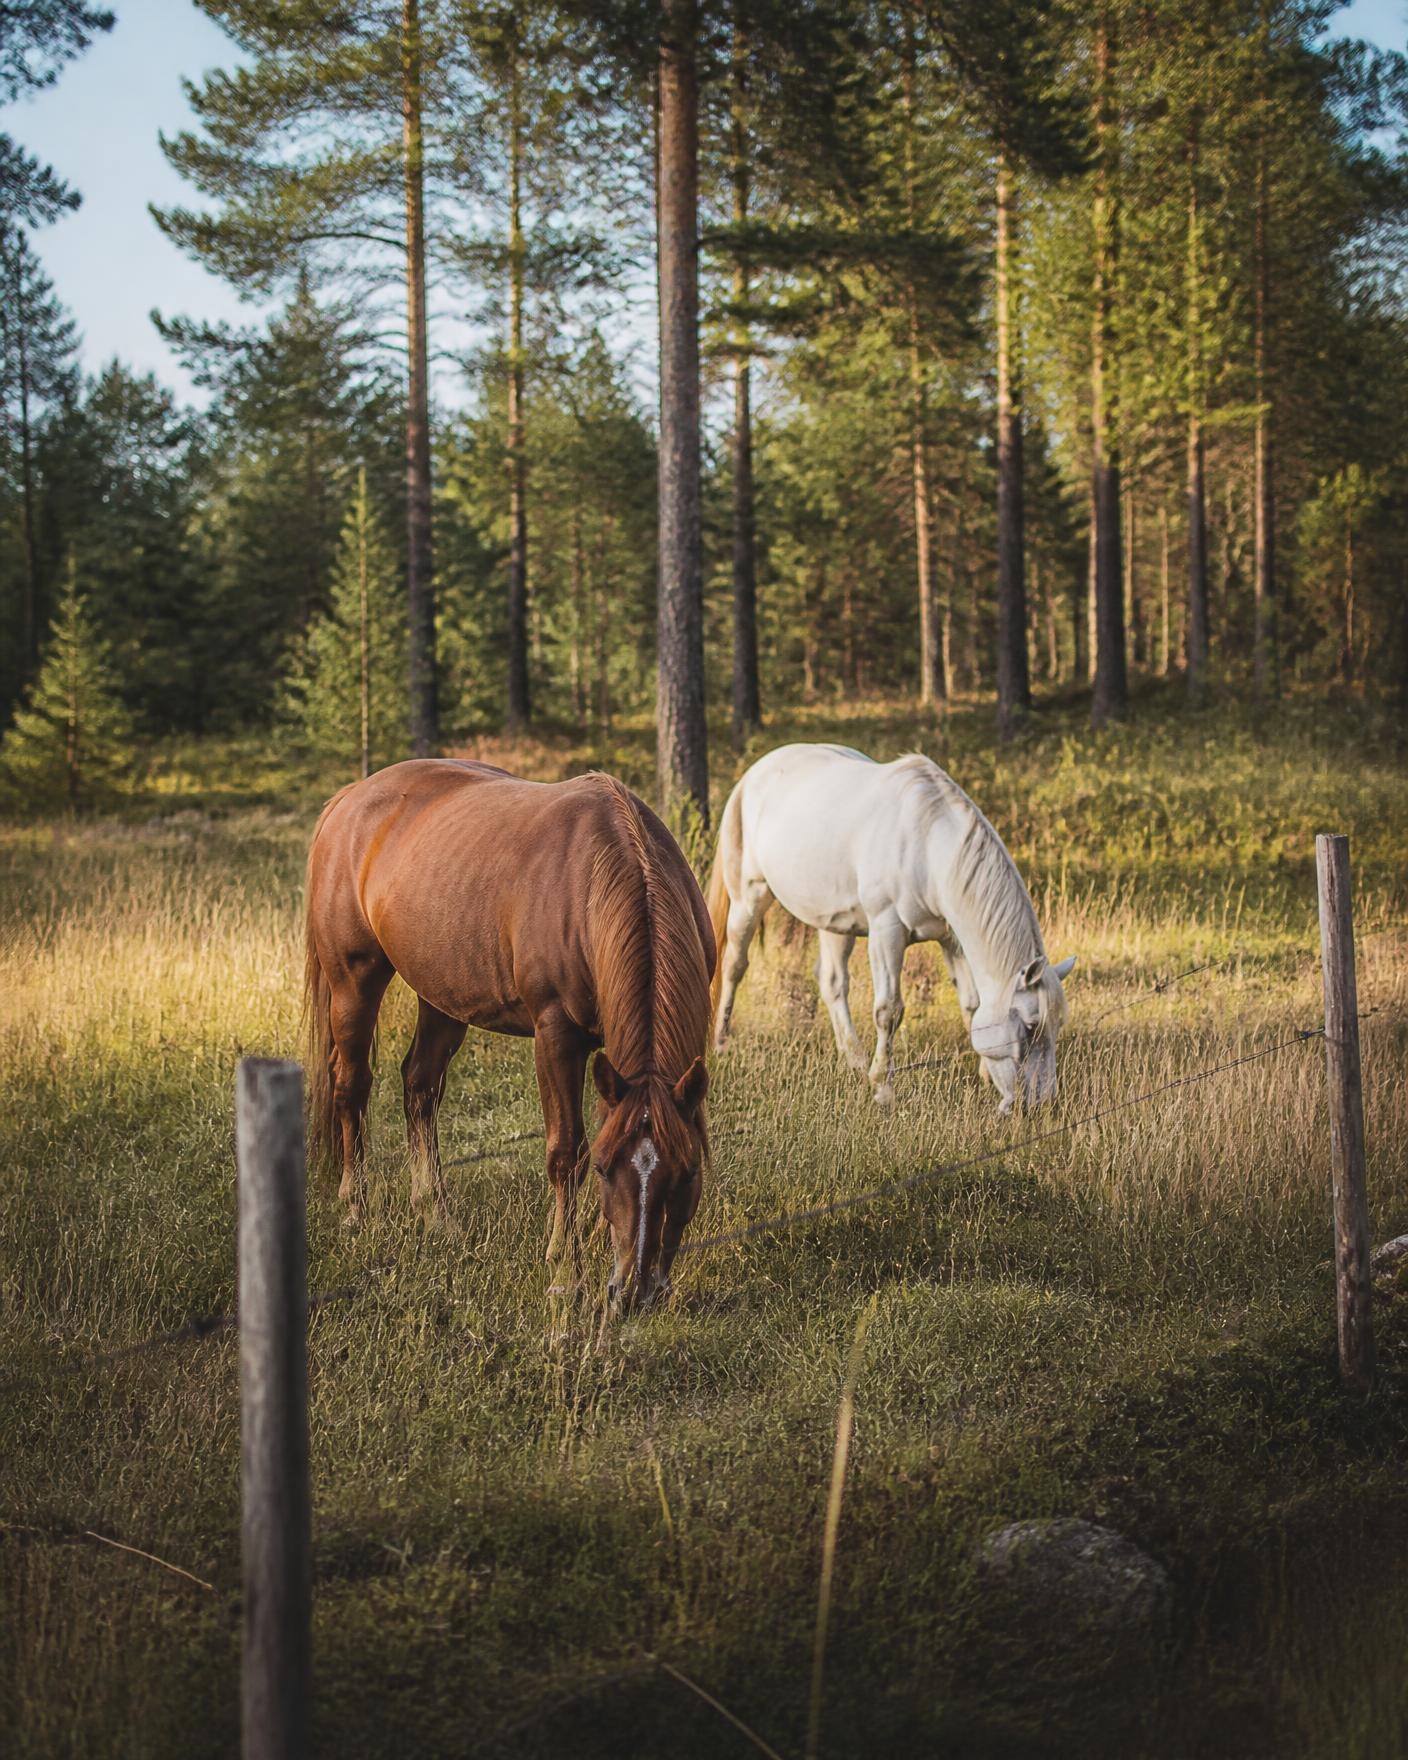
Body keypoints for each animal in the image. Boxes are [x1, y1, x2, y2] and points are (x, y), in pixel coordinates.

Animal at [303, 759, 715, 1310]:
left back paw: (436, 1215)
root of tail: (350, 798)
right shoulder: (555, 1035)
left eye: (687, 1172)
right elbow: (565, 1152)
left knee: (420, 1086)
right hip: (354, 981)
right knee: (352, 1086)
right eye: (606, 1169)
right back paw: (356, 1208)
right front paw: (565, 1272)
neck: (598, 879)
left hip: (443, 996)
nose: (633, 1292)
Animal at [705, 744, 1075, 1110]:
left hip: (834, 921)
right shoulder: (887, 932)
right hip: (749, 898)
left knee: (832, 982)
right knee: (734, 965)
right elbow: (889, 1010)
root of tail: (754, 774)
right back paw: (721, 1043)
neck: (928, 845)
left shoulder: (950, 938)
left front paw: (984, 1075)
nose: (1043, 1103)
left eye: (1058, 1024)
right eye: (1030, 1027)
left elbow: (970, 1002)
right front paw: (883, 1088)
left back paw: (854, 1059)